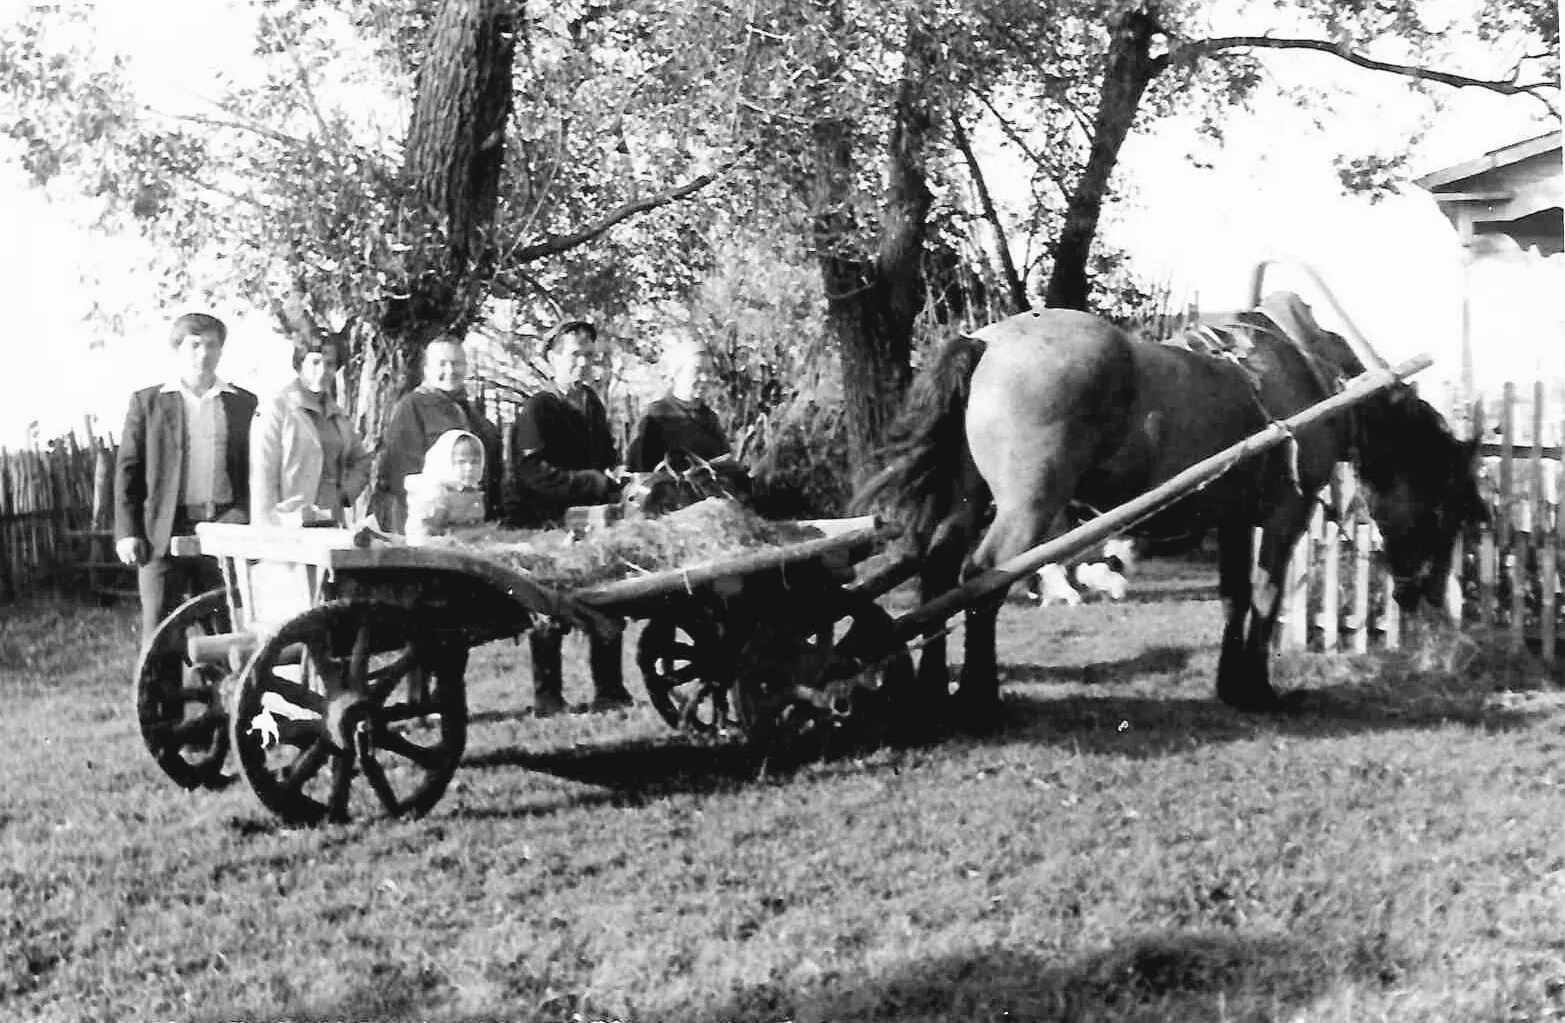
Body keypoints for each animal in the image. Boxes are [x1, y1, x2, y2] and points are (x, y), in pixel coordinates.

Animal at [857, 278, 1477, 722]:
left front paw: (1232, 685)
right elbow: (1267, 597)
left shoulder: (1233, 520)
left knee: (939, 572)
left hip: (968, 501)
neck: (1309, 372)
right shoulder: (1284, 519)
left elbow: (1234, 598)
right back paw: (978, 698)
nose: (1422, 594)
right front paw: (1258, 688)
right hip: (1026, 508)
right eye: (1445, 506)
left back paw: (933, 691)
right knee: (982, 578)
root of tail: (985, 341)